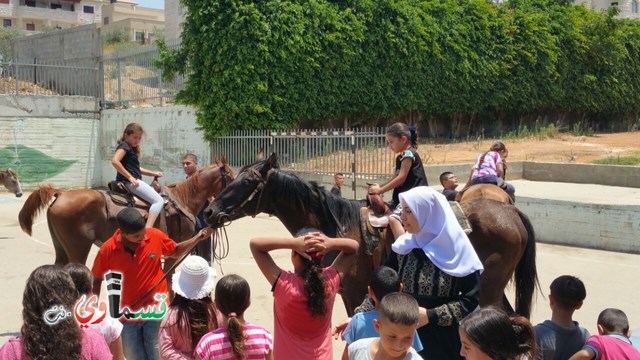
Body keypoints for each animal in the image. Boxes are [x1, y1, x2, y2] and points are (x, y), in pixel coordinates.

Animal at [19, 159, 235, 266]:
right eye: (232, 177)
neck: (183, 198)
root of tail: (61, 193)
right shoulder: (174, 252)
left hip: (61, 249)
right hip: (78, 250)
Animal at [205, 153, 540, 316]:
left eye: (248, 182)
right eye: (232, 178)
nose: (209, 212)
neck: (338, 226)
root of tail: (511, 212)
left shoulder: (354, 291)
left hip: (490, 285)